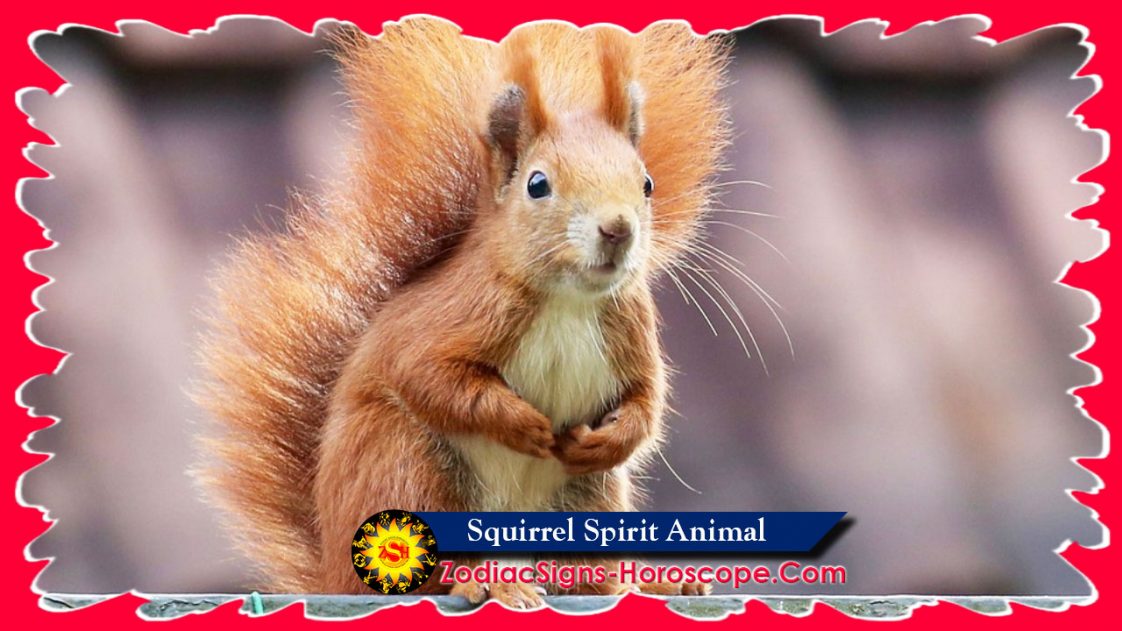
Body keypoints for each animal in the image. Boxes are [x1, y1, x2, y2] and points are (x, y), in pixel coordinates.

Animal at [194, 18, 729, 608]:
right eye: (538, 184)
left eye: (647, 183)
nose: (618, 228)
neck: (568, 299)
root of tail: (334, 571)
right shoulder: (457, 316)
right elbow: (432, 378)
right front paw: (525, 425)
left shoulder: (630, 330)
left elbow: (645, 405)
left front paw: (604, 439)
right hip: (406, 468)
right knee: (428, 569)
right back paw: (488, 582)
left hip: (587, 500)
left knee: (587, 574)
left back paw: (645, 579)